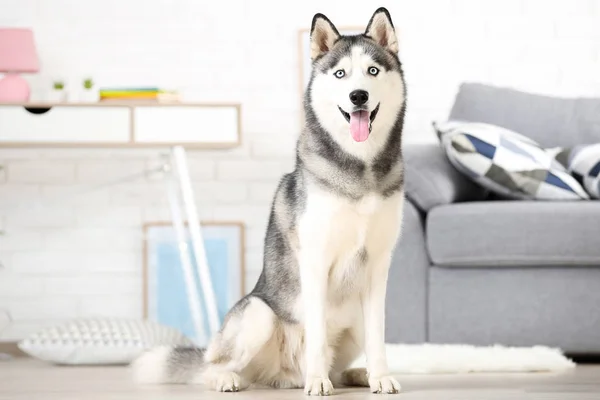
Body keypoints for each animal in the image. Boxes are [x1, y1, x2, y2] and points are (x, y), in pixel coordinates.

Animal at [133, 7, 406, 396]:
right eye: (340, 73)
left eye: (372, 71)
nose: (358, 96)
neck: (360, 167)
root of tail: (285, 375)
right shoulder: (315, 261)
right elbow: (318, 332)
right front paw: (318, 382)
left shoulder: (378, 266)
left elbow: (378, 334)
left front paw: (379, 376)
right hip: (257, 314)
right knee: (211, 366)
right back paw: (234, 378)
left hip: (351, 318)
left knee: (343, 359)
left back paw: (356, 375)